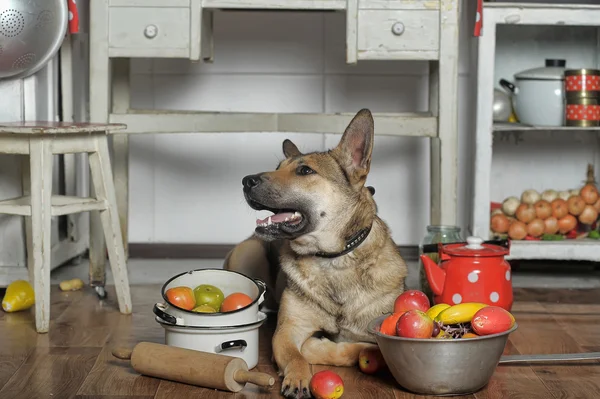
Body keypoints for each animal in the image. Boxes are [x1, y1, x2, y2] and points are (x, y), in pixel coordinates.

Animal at [224, 109, 408, 399]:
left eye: (305, 170)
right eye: (278, 167)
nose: (246, 180)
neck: (332, 257)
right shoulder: (287, 332)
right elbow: (298, 355)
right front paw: (299, 374)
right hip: (246, 254)